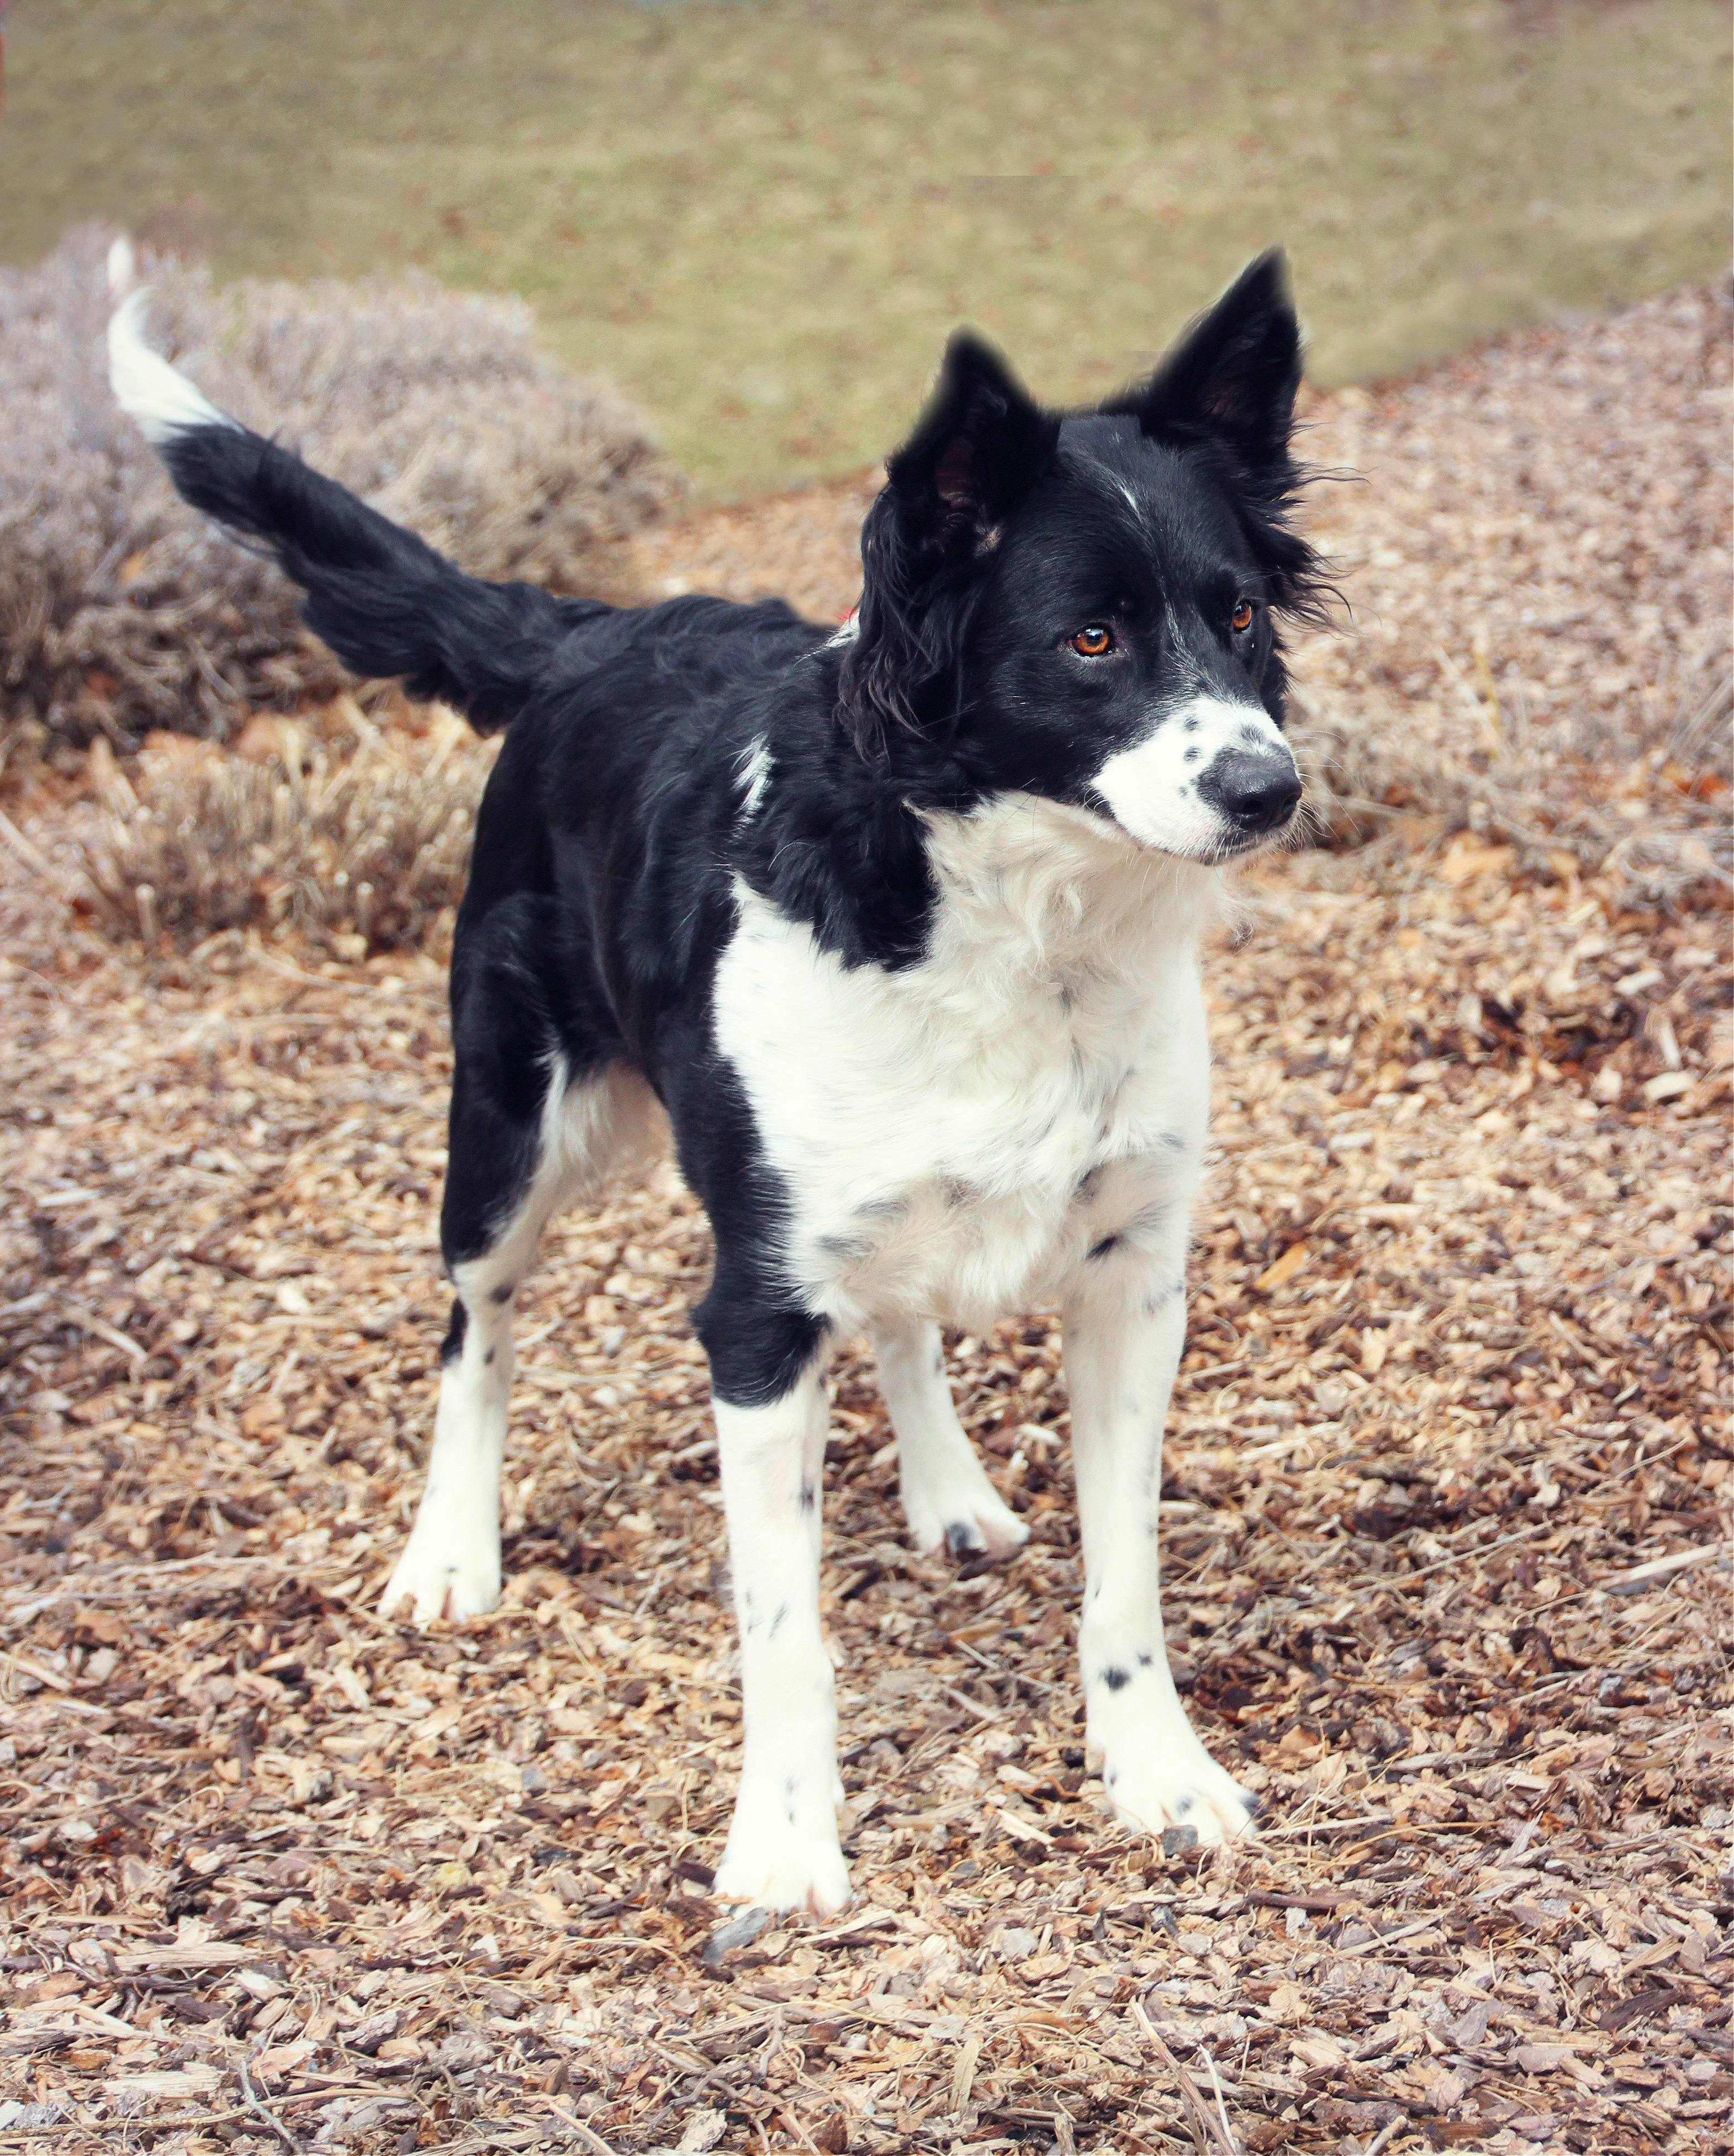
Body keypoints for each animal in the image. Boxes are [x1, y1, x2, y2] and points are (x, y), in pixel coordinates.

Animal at [108, 245, 1320, 1914]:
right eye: (1090, 640)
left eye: (1239, 612)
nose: (1268, 787)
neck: (1008, 923)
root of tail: (591, 633)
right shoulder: (750, 1317)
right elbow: (783, 1627)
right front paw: (785, 1843)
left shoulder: (1132, 1277)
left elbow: (1124, 1583)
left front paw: (1157, 1776)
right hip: (509, 1128)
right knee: (472, 1328)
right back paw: (450, 1552)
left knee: (896, 1321)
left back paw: (946, 1489)